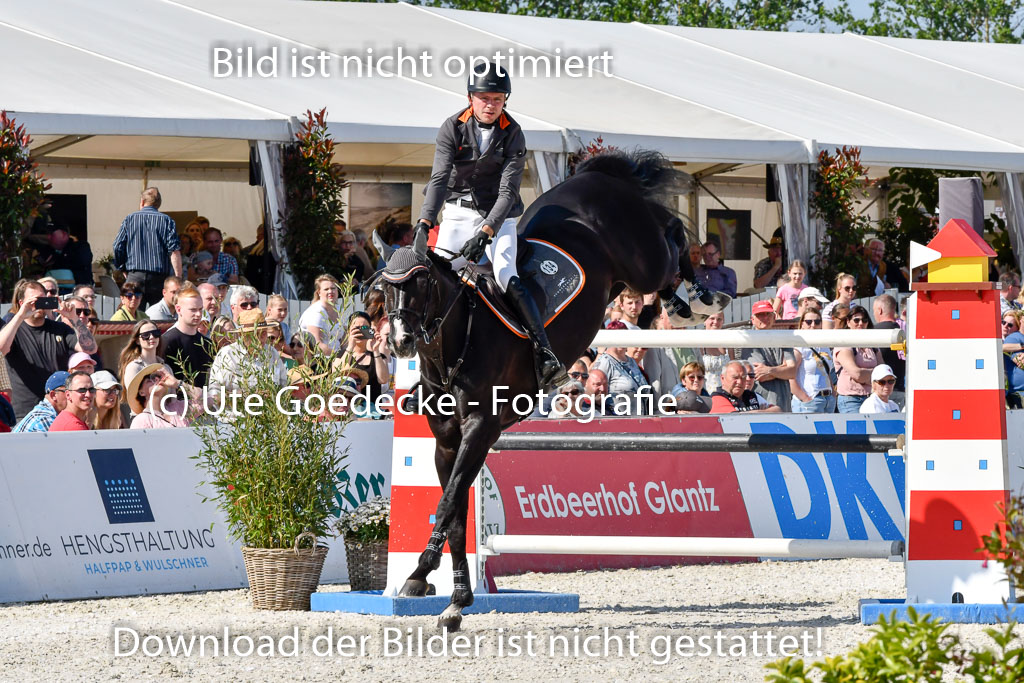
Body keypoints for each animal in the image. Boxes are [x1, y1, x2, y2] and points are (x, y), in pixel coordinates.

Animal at [380, 149, 724, 630]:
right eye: (383, 287)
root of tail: (594, 177)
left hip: (644, 259)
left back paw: (700, 296)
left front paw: (418, 576)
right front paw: (456, 600)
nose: (400, 342)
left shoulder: (480, 430)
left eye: (423, 282)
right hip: (624, 281)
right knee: (661, 263)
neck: (459, 339)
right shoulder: (447, 441)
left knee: (671, 234)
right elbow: (457, 515)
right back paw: (678, 302)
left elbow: (448, 505)